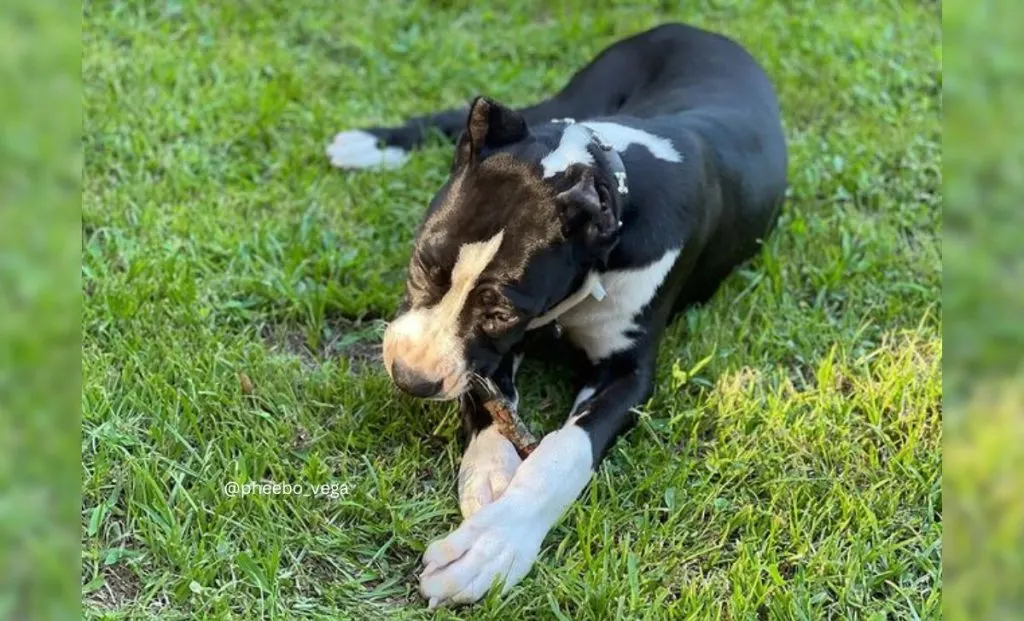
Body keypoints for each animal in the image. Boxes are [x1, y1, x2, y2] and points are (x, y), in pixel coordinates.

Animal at [325, 23, 782, 606]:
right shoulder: (492, 353)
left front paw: (493, 542)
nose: (411, 378)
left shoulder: (625, 373)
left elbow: (563, 452)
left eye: (501, 312)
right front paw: (490, 475)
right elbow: (492, 404)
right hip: (571, 94)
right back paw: (371, 142)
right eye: (423, 265)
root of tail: (697, 29)